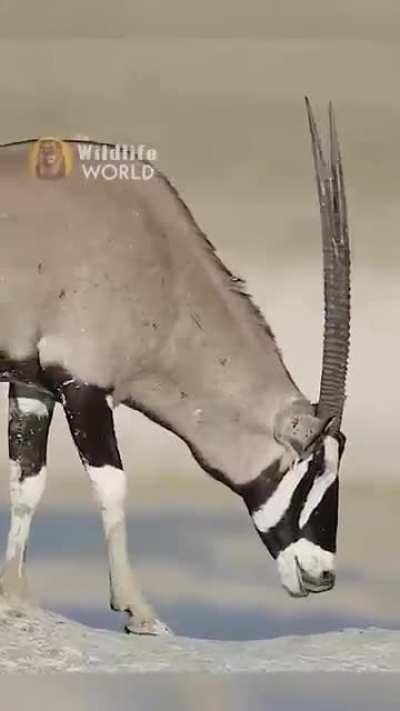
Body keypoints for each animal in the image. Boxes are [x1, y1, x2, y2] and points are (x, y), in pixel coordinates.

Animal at [0, 100, 350, 635]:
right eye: (313, 466)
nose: (323, 575)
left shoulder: (32, 384)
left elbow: (27, 481)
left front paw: (15, 595)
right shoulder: (85, 385)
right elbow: (112, 485)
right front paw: (137, 611)